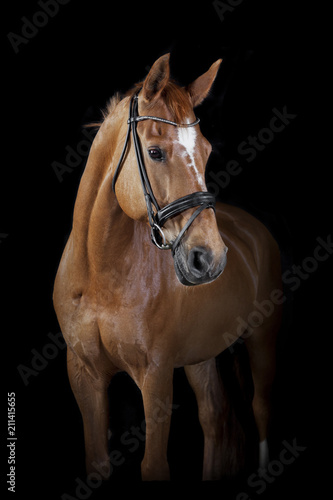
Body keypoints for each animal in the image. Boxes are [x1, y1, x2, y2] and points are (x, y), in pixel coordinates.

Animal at [53, 53, 282, 480]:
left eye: (206, 151)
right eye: (156, 152)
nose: (210, 257)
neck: (100, 275)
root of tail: (253, 230)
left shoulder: (156, 376)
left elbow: (154, 464)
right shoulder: (84, 376)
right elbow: (97, 461)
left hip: (262, 338)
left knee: (259, 412)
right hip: (200, 356)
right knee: (215, 419)